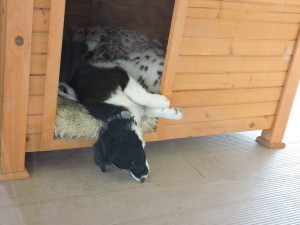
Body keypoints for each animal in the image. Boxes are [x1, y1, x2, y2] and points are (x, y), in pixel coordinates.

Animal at [57, 41, 182, 183]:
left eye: (132, 161)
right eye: (124, 167)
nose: (142, 180)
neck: (118, 109)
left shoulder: (119, 76)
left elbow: (139, 95)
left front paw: (165, 103)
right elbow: (148, 110)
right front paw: (173, 112)